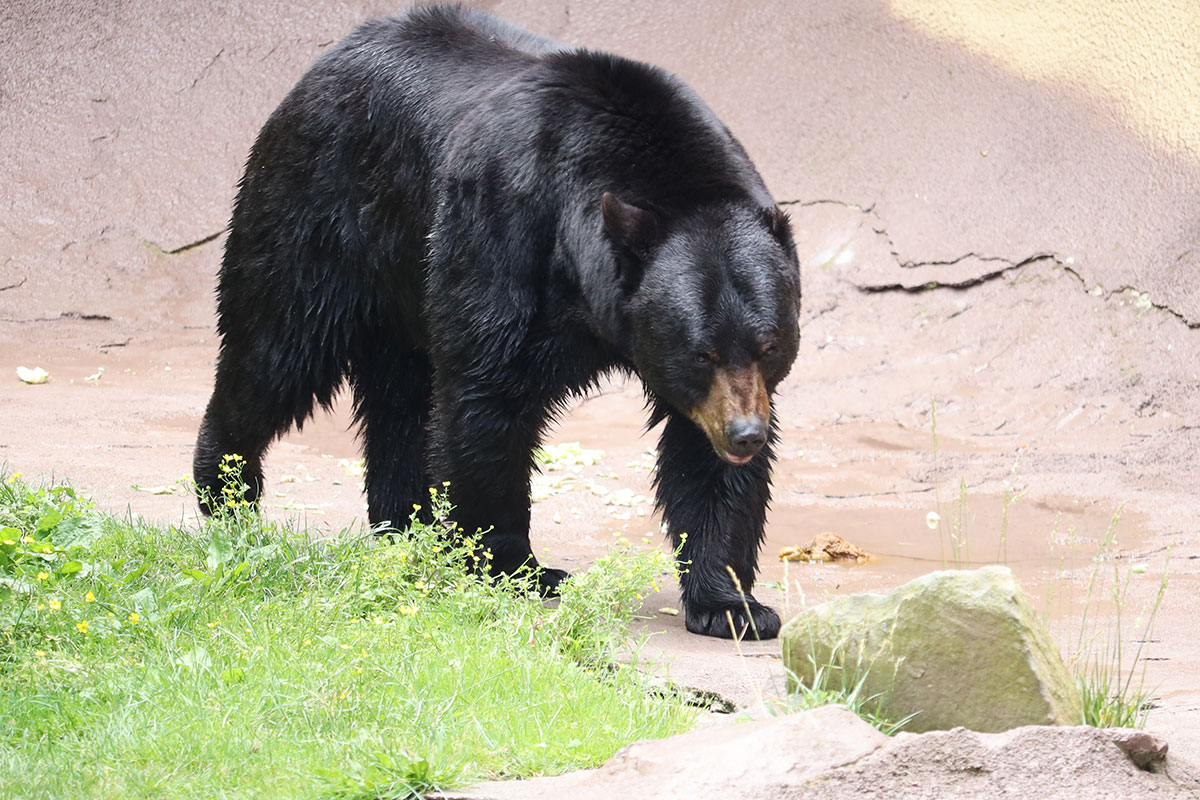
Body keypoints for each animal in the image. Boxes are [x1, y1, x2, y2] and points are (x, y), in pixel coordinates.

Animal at [194, 3, 796, 642]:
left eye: (768, 345)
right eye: (700, 352)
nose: (745, 434)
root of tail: (323, 64)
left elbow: (701, 458)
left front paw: (732, 604)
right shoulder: (503, 232)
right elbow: (486, 398)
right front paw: (513, 567)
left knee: (398, 398)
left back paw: (404, 526)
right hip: (320, 213)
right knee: (278, 347)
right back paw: (227, 493)